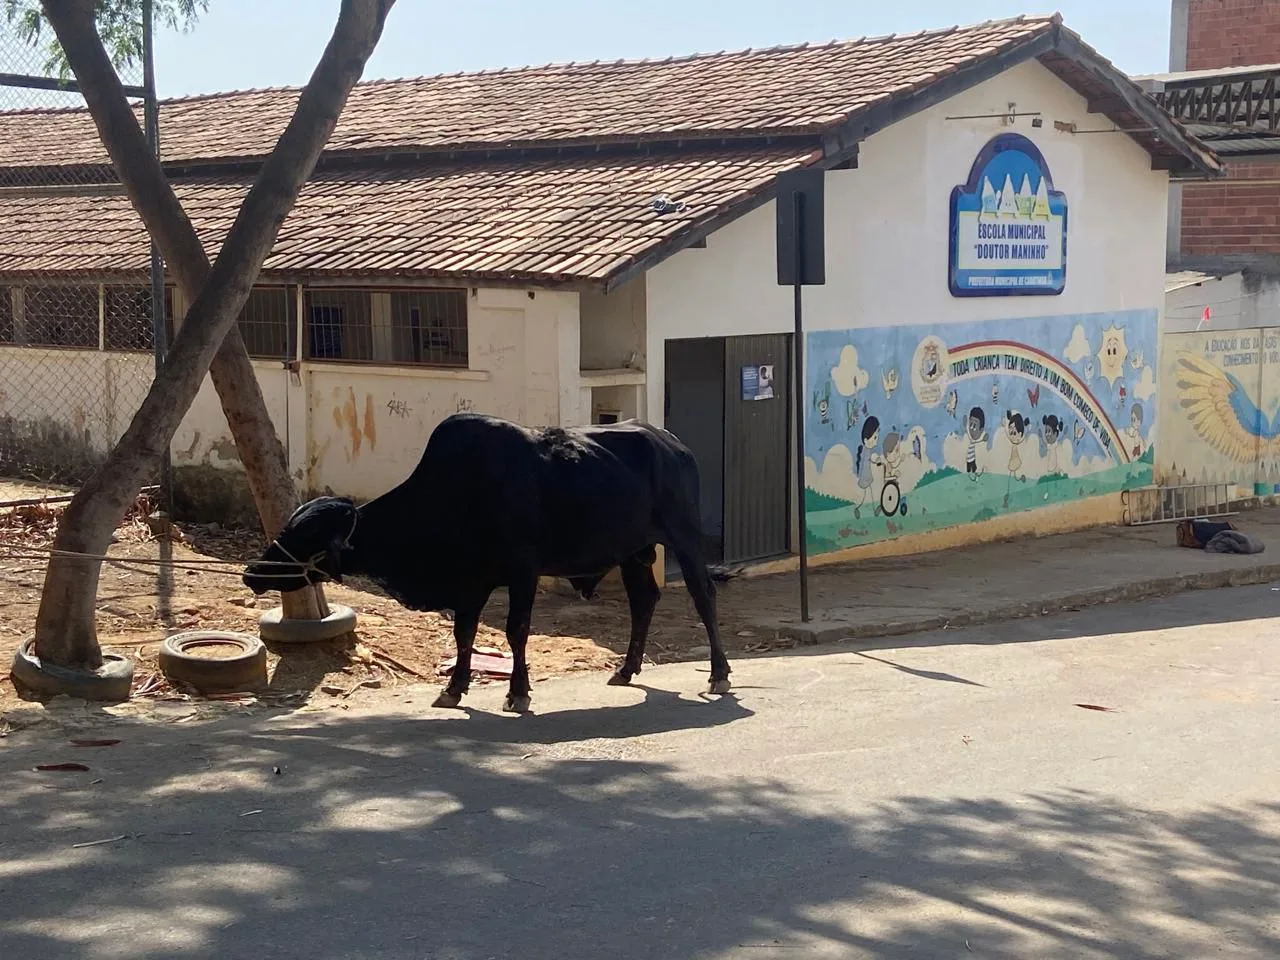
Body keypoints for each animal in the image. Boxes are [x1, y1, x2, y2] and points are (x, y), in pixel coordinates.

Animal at [244, 414, 737, 716]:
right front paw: (454, 687)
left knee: (703, 596)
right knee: (644, 602)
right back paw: (626, 669)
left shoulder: (522, 572)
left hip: (683, 538)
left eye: (302, 535)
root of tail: (671, 442)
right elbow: (464, 634)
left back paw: (718, 674)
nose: (251, 573)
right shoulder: (470, 582)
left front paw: (517, 691)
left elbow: (516, 631)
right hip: (633, 552)